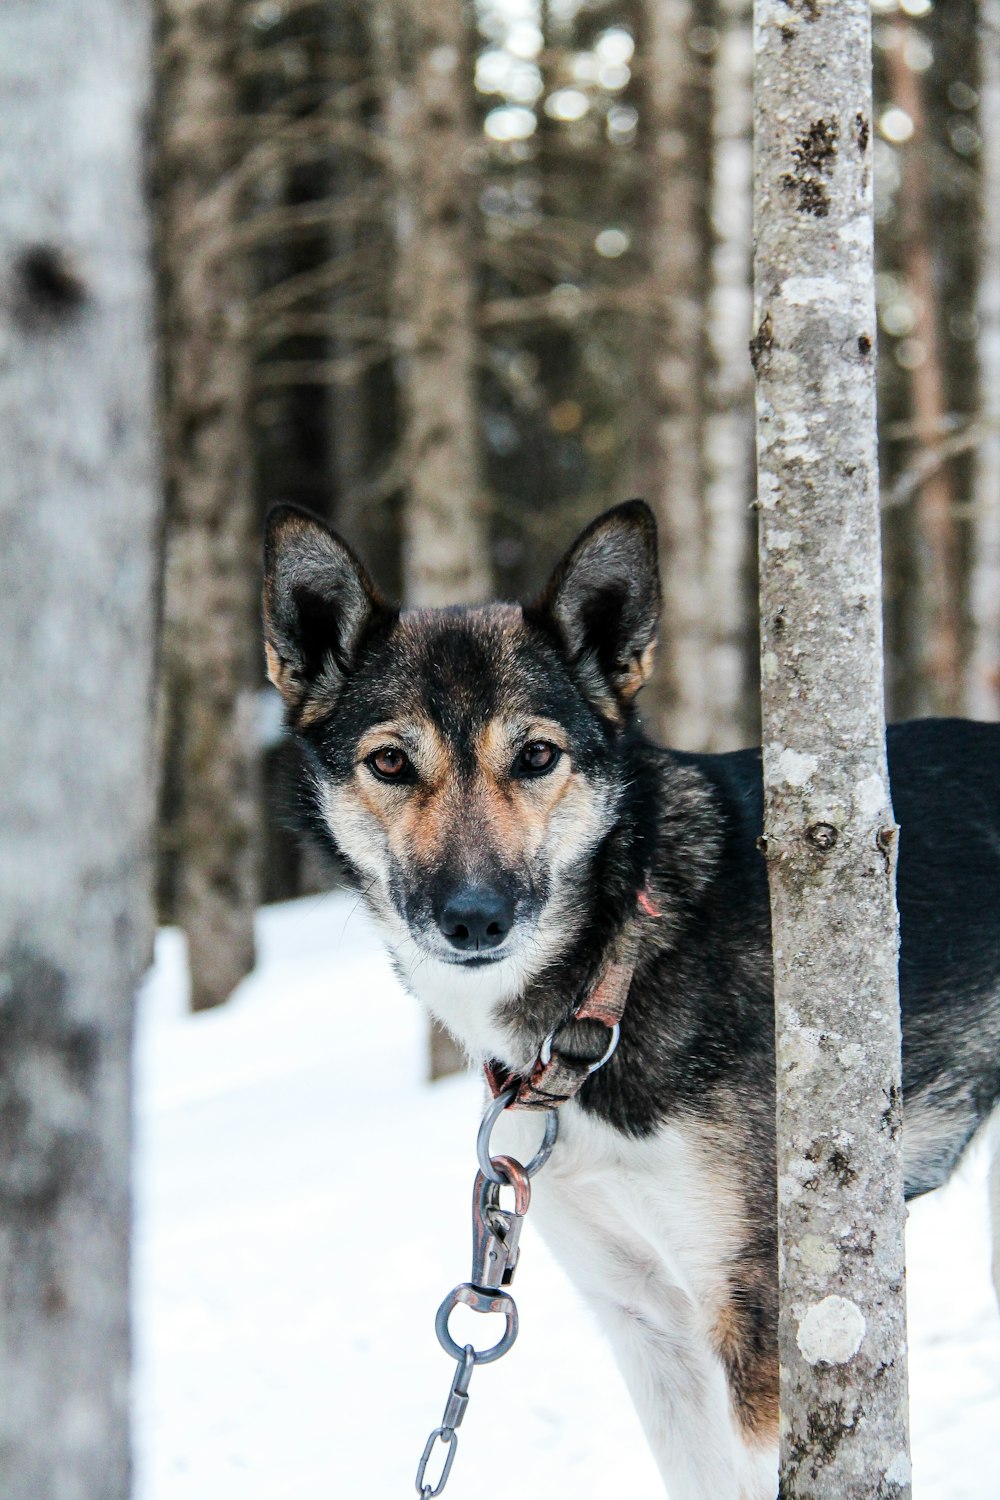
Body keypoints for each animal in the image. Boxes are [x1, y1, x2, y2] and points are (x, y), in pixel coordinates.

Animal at [260, 498, 1000, 1494]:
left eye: (538, 755)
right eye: (389, 764)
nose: (473, 917)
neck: (606, 983)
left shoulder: (759, 1312)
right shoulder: (646, 1323)